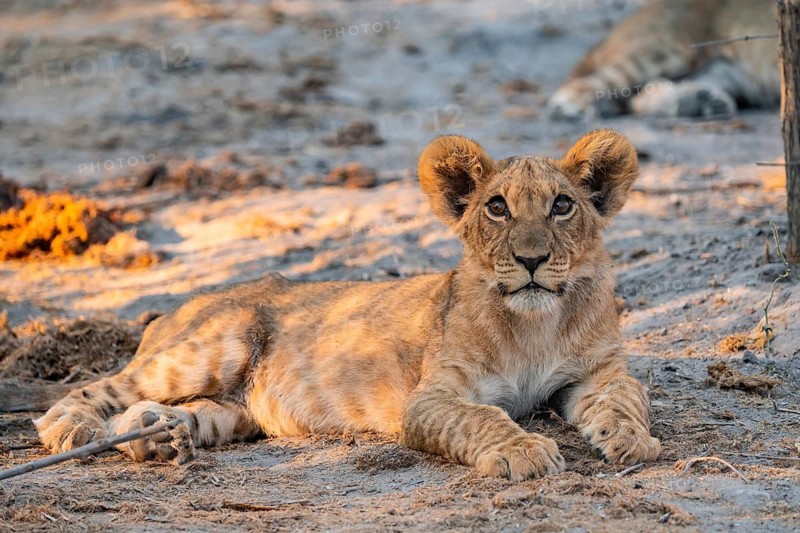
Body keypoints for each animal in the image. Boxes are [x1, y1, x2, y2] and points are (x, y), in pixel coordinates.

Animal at [35, 130, 660, 480]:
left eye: (562, 205)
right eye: (498, 207)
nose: (532, 259)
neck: (535, 324)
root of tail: (172, 311)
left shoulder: (595, 373)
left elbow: (628, 396)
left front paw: (632, 440)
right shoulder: (431, 398)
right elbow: (484, 417)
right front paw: (526, 453)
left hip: (231, 413)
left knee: (163, 414)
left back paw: (159, 437)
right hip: (218, 342)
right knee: (97, 389)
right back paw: (70, 430)